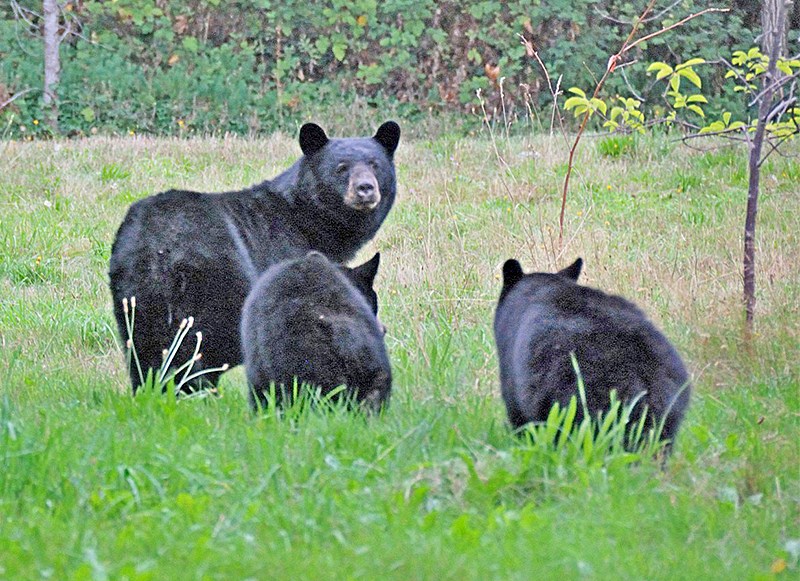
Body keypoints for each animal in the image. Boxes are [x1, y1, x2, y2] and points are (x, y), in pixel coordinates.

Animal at [108, 120, 400, 392]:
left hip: (135, 295)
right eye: (341, 168)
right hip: (217, 289)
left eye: (375, 165)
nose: (365, 188)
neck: (307, 221)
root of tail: (162, 252)